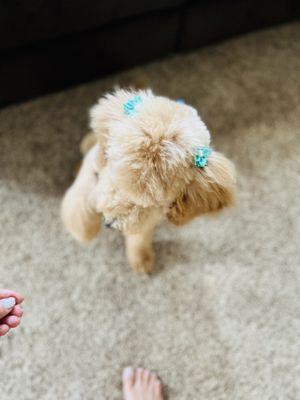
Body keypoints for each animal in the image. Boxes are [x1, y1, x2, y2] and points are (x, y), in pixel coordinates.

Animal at [61, 89, 236, 274]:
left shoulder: (147, 219)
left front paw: (141, 259)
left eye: (150, 202)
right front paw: (82, 231)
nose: (109, 223)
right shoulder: (90, 173)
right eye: (116, 180)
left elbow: (139, 236)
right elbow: (79, 203)